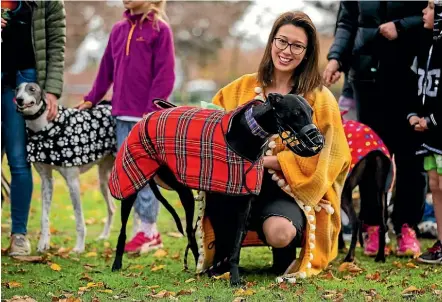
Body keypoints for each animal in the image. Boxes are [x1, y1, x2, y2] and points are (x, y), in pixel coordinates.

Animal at [15, 82, 116, 252]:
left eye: (32, 89)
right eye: (16, 90)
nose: (19, 99)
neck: (45, 126)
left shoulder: (73, 182)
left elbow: (79, 219)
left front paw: (79, 248)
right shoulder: (46, 181)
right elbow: (44, 217)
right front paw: (43, 244)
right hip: (104, 180)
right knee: (112, 208)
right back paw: (104, 236)